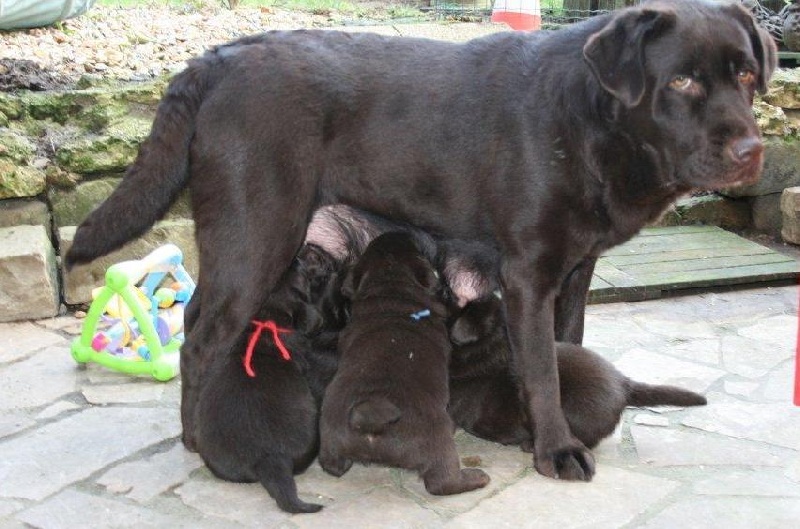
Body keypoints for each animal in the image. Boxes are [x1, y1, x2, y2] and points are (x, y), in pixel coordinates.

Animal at [318, 231, 490, 496]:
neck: (391, 289)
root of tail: (370, 424)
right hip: (438, 441)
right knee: (441, 481)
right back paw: (475, 478)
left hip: (330, 436)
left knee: (332, 465)